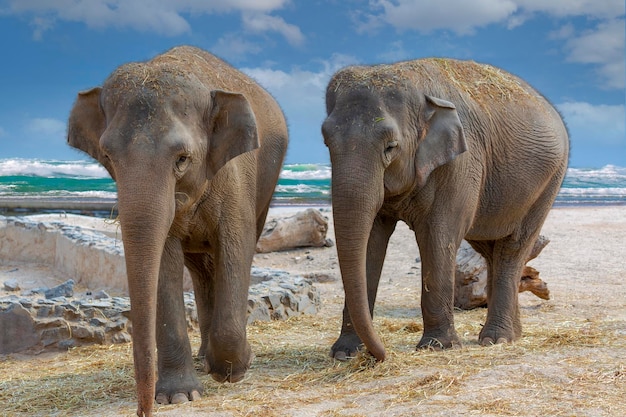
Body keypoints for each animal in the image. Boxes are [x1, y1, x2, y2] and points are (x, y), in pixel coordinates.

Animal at [67, 46, 288, 416]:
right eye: (108, 156)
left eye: (182, 158)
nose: (142, 411)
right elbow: (163, 261)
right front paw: (179, 396)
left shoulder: (235, 176)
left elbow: (237, 246)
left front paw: (235, 369)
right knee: (201, 270)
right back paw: (203, 357)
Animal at [324, 57, 568, 360]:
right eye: (326, 141)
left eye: (391, 146)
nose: (382, 354)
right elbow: (369, 241)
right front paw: (344, 353)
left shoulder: (461, 162)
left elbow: (438, 236)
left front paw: (438, 347)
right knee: (490, 251)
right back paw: (510, 336)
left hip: (549, 183)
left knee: (513, 248)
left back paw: (497, 339)